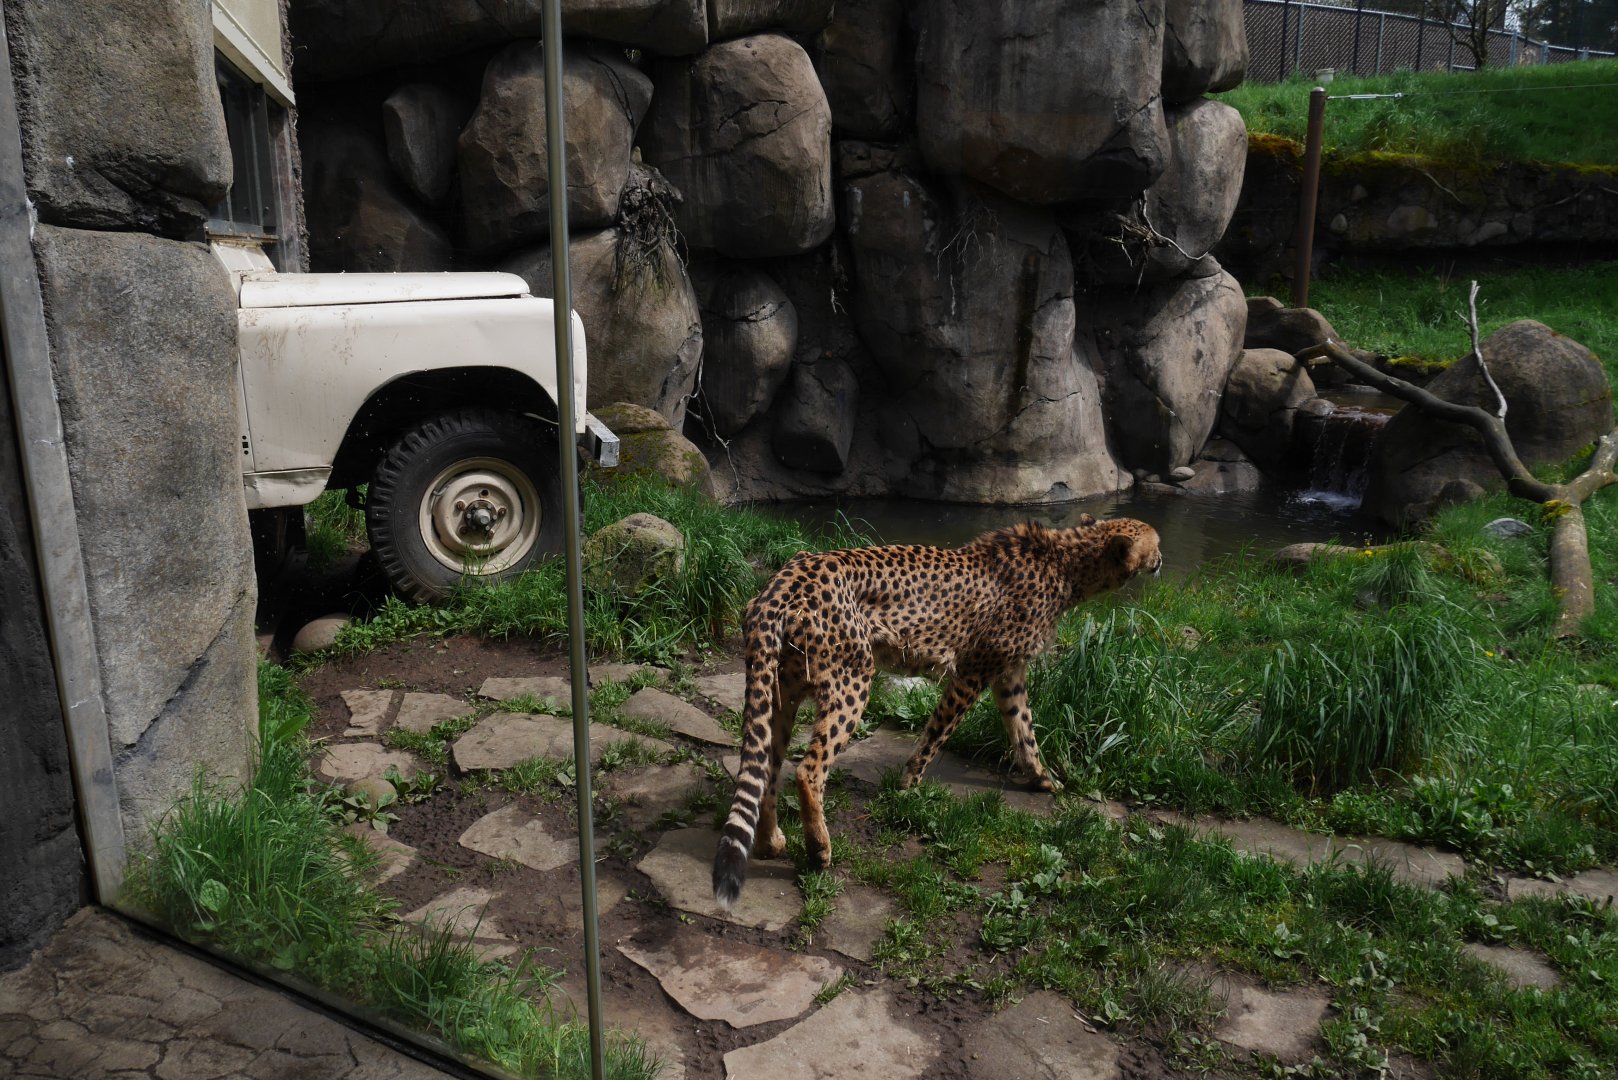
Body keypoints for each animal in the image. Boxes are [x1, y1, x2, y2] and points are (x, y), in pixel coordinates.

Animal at [713, 514, 1163, 908]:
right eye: (1155, 543)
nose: (1161, 559)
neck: (1067, 564)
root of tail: (786, 576)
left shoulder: (1009, 674)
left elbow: (1024, 730)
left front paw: (1044, 780)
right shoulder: (974, 671)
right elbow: (938, 732)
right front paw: (908, 785)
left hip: (783, 690)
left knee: (768, 764)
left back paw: (771, 842)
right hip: (851, 681)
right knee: (808, 769)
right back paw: (820, 851)